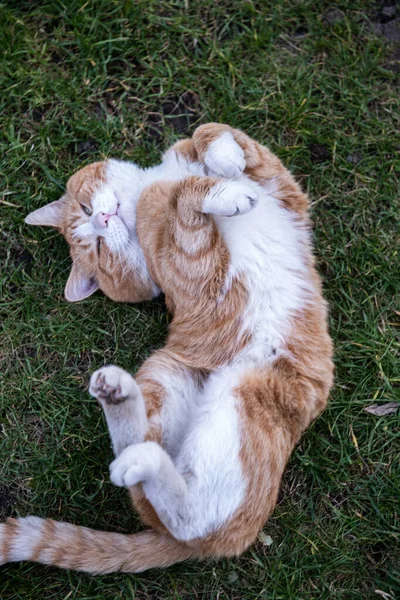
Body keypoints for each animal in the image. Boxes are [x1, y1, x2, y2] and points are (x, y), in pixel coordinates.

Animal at [0, 122, 334, 572]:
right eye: (99, 248)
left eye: (86, 211)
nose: (104, 217)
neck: (150, 182)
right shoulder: (185, 264)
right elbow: (179, 196)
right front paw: (207, 189)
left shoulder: (281, 184)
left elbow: (211, 133)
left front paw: (224, 160)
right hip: (212, 388)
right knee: (183, 515)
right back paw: (128, 431)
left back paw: (119, 403)